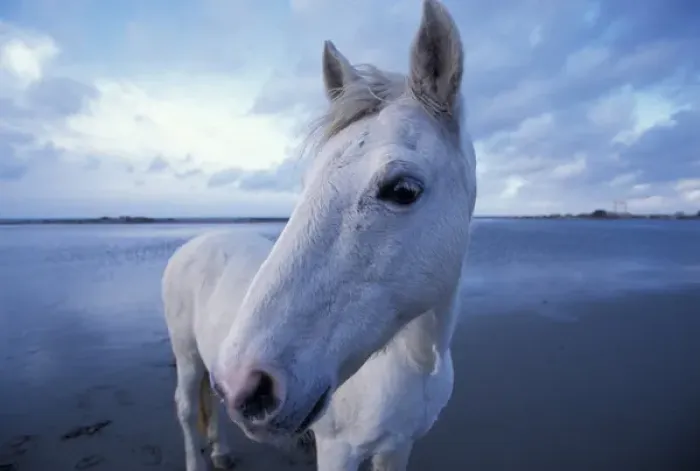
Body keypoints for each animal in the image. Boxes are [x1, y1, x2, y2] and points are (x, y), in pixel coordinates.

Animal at [161, 0, 477, 469]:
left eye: (403, 190)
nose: (246, 385)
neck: (414, 361)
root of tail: (196, 243)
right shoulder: (336, 450)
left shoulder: (398, 447)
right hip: (187, 357)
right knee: (186, 410)